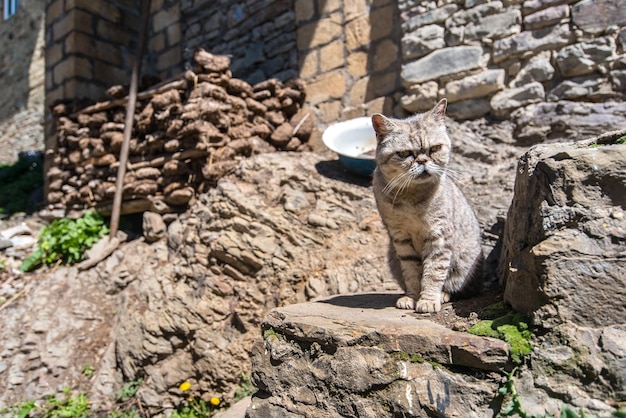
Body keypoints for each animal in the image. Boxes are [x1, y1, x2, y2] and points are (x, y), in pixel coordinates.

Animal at [370, 99, 482, 314]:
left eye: (435, 148)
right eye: (404, 153)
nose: (422, 160)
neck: (411, 198)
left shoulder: (439, 236)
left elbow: (433, 272)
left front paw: (428, 300)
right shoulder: (401, 238)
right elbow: (412, 272)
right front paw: (412, 297)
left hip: (464, 263)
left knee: (455, 286)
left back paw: (443, 295)